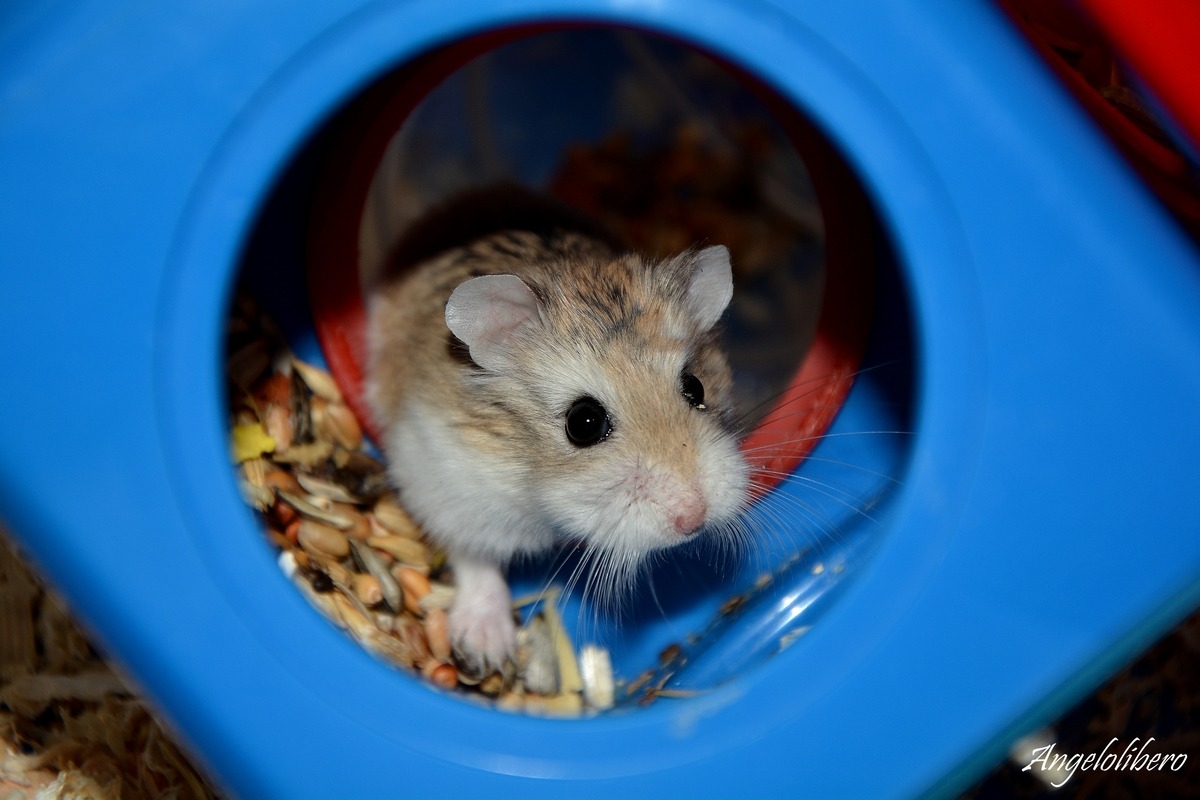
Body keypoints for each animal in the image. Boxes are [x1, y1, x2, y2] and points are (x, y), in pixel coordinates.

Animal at [365, 185, 750, 677]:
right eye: (583, 423)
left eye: (696, 386)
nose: (694, 520)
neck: (537, 490)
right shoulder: (444, 485)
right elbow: (475, 559)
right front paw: (487, 653)